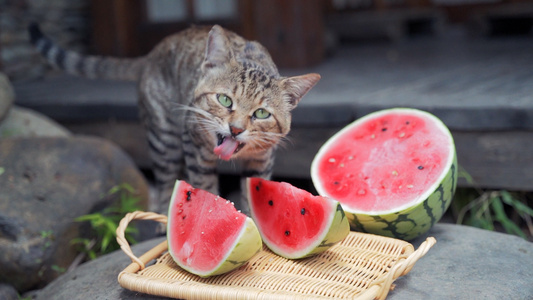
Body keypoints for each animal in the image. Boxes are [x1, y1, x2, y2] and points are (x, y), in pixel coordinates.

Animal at [29, 24, 318, 214]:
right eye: (225, 100)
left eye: (261, 113)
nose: (235, 129)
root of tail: (152, 53)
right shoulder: (195, 147)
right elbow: (206, 188)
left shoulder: (262, 161)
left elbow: (253, 192)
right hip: (165, 140)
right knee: (165, 183)